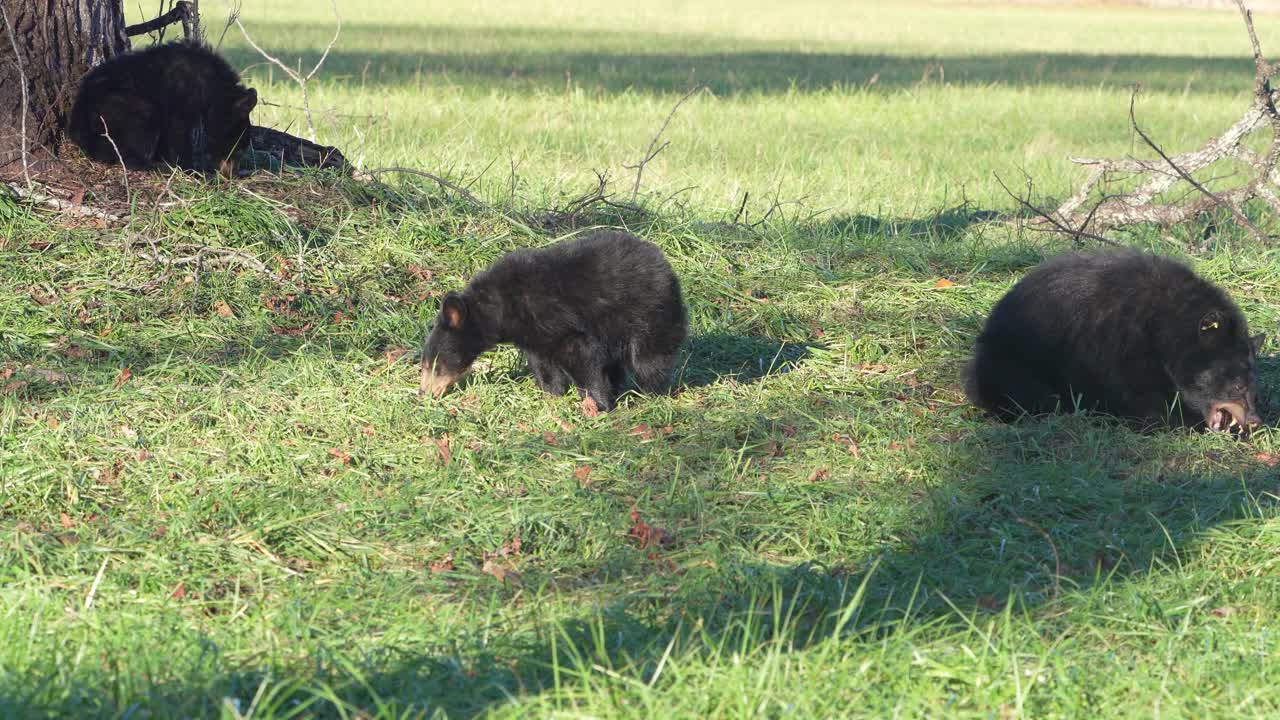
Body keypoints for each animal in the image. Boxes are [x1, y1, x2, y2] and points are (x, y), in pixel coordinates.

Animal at [67, 41, 257, 176]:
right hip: (119, 108)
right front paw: (190, 169)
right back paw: (156, 166)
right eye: (238, 149)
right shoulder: (181, 98)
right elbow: (178, 133)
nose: (231, 174)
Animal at [419, 229, 686, 409]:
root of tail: (665, 265)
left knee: (650, 359)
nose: (424, 393)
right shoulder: (533, 333)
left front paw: (597, 404)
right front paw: (553, 395)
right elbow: (544, 364)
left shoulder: (556, 318)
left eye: (434, 365)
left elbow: (580, 353)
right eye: (425, 364)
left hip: (650, 313)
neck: (501, 306)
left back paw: (651, 395)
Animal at [962, 251, 1264, 430]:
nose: (1255, 421)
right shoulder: (1120, 345)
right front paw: (1181, 419)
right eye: (1238, 386)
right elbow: (1139, 398)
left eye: (1254, 389)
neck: (1163, 325)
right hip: (1011, 360)